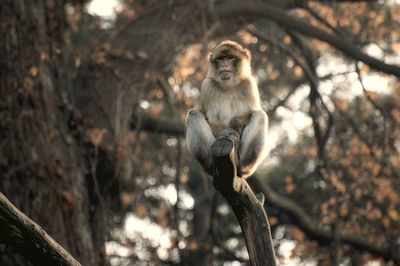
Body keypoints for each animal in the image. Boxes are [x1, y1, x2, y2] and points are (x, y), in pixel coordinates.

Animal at [185, 40, 268, 191]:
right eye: (221, 59)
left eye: (230, 58)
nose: (224, 65)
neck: (229, 86)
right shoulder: (208, 86)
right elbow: (208, 118)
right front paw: (230, 133)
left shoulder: (249, 84)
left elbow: (254, 111)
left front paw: (237, 123)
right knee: (194, 115)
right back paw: (211, 165)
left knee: (260, 115)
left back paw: (243, 167)